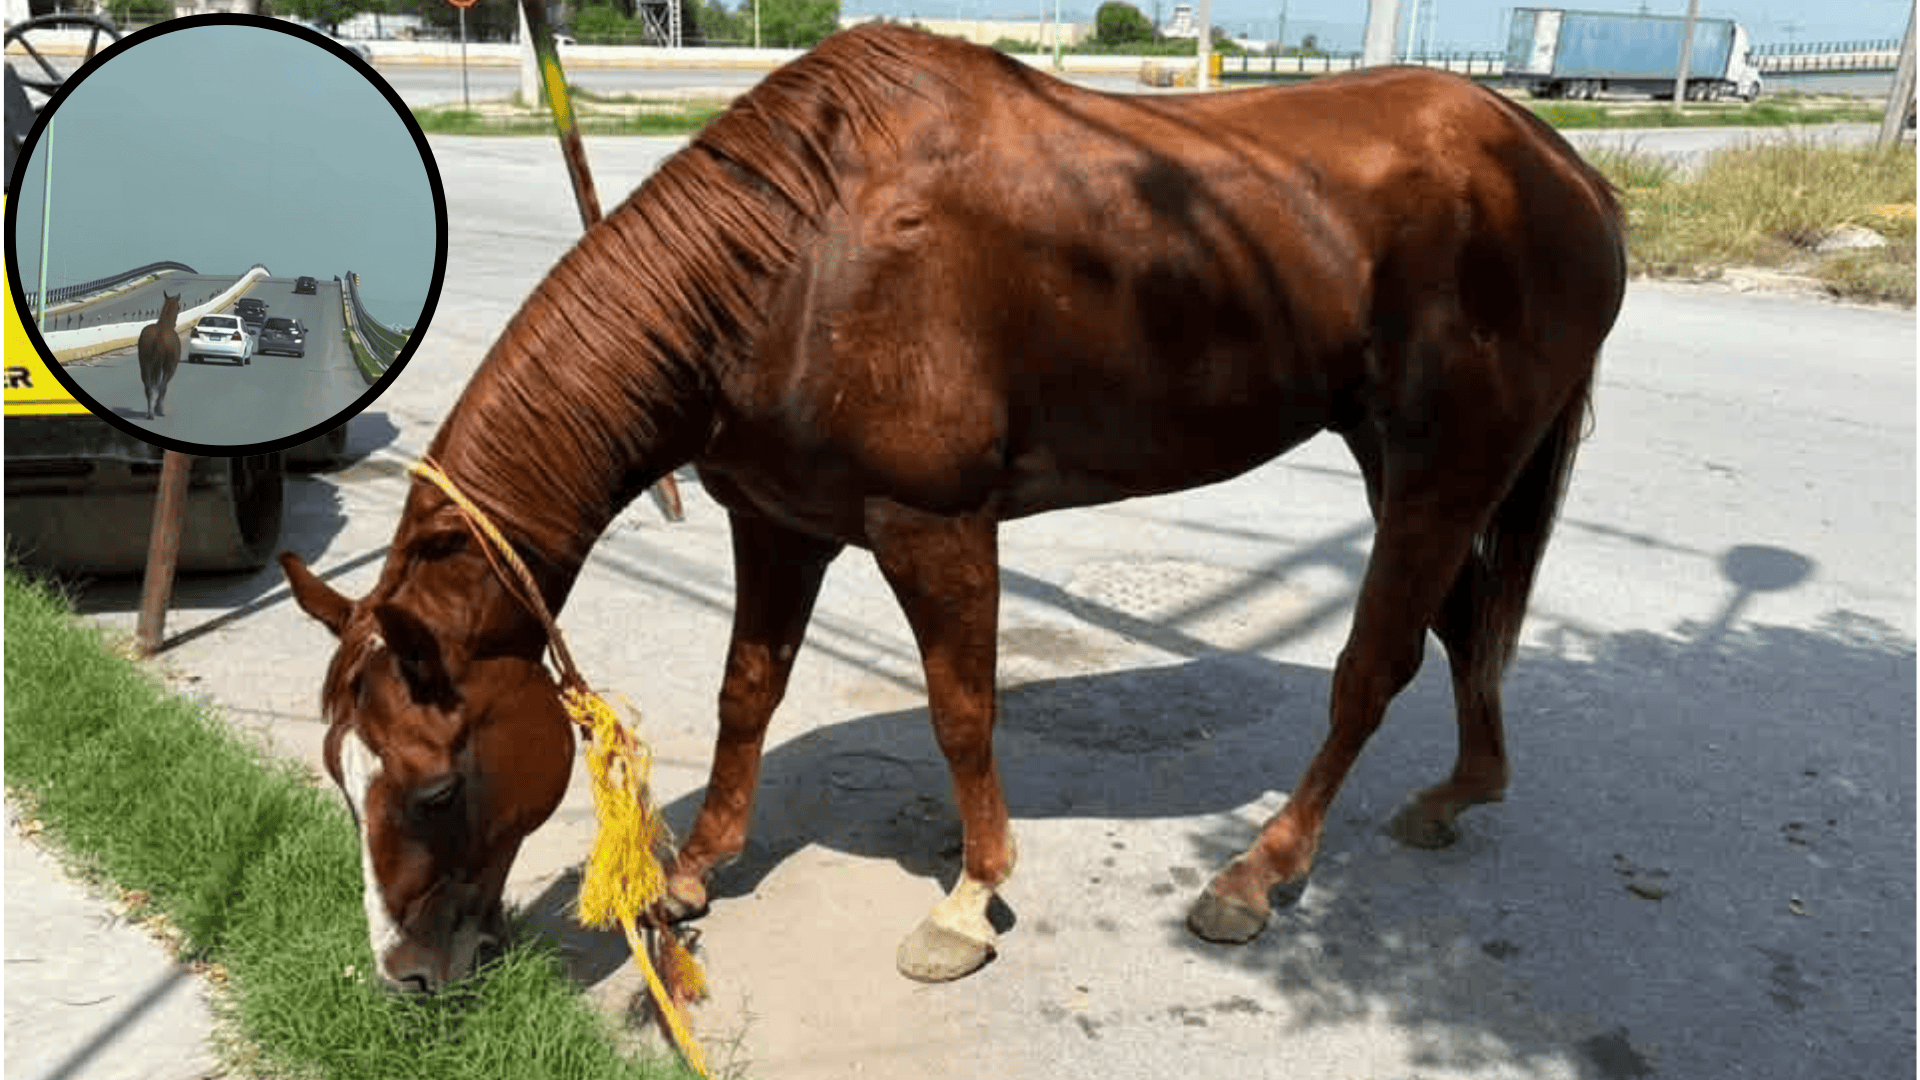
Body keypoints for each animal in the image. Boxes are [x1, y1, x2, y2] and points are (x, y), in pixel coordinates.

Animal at [137, 290, 182, 419]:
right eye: (179, 307)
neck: (165, 323)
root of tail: (158, 338)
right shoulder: (170, 367)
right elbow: (163, 386)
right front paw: (158, 408)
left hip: (145, 363)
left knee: (148, 386)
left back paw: (150, 412)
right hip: (167, 366)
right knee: (161, 386)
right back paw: (157, 410)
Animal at [281, 23, 1626, 993]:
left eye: (433, 787)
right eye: (343, 777)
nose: (407, 977)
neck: (799, 259)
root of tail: (1561, 165)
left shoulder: (933, 527)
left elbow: (962, 712)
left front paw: (970, 900)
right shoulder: (779, 522)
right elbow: (745, 693)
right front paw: (698, 869)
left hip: (1445, 463)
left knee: (1377, 662)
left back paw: (1261, 872)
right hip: (1403, 456)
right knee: (1464, 623)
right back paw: (1458, 794)